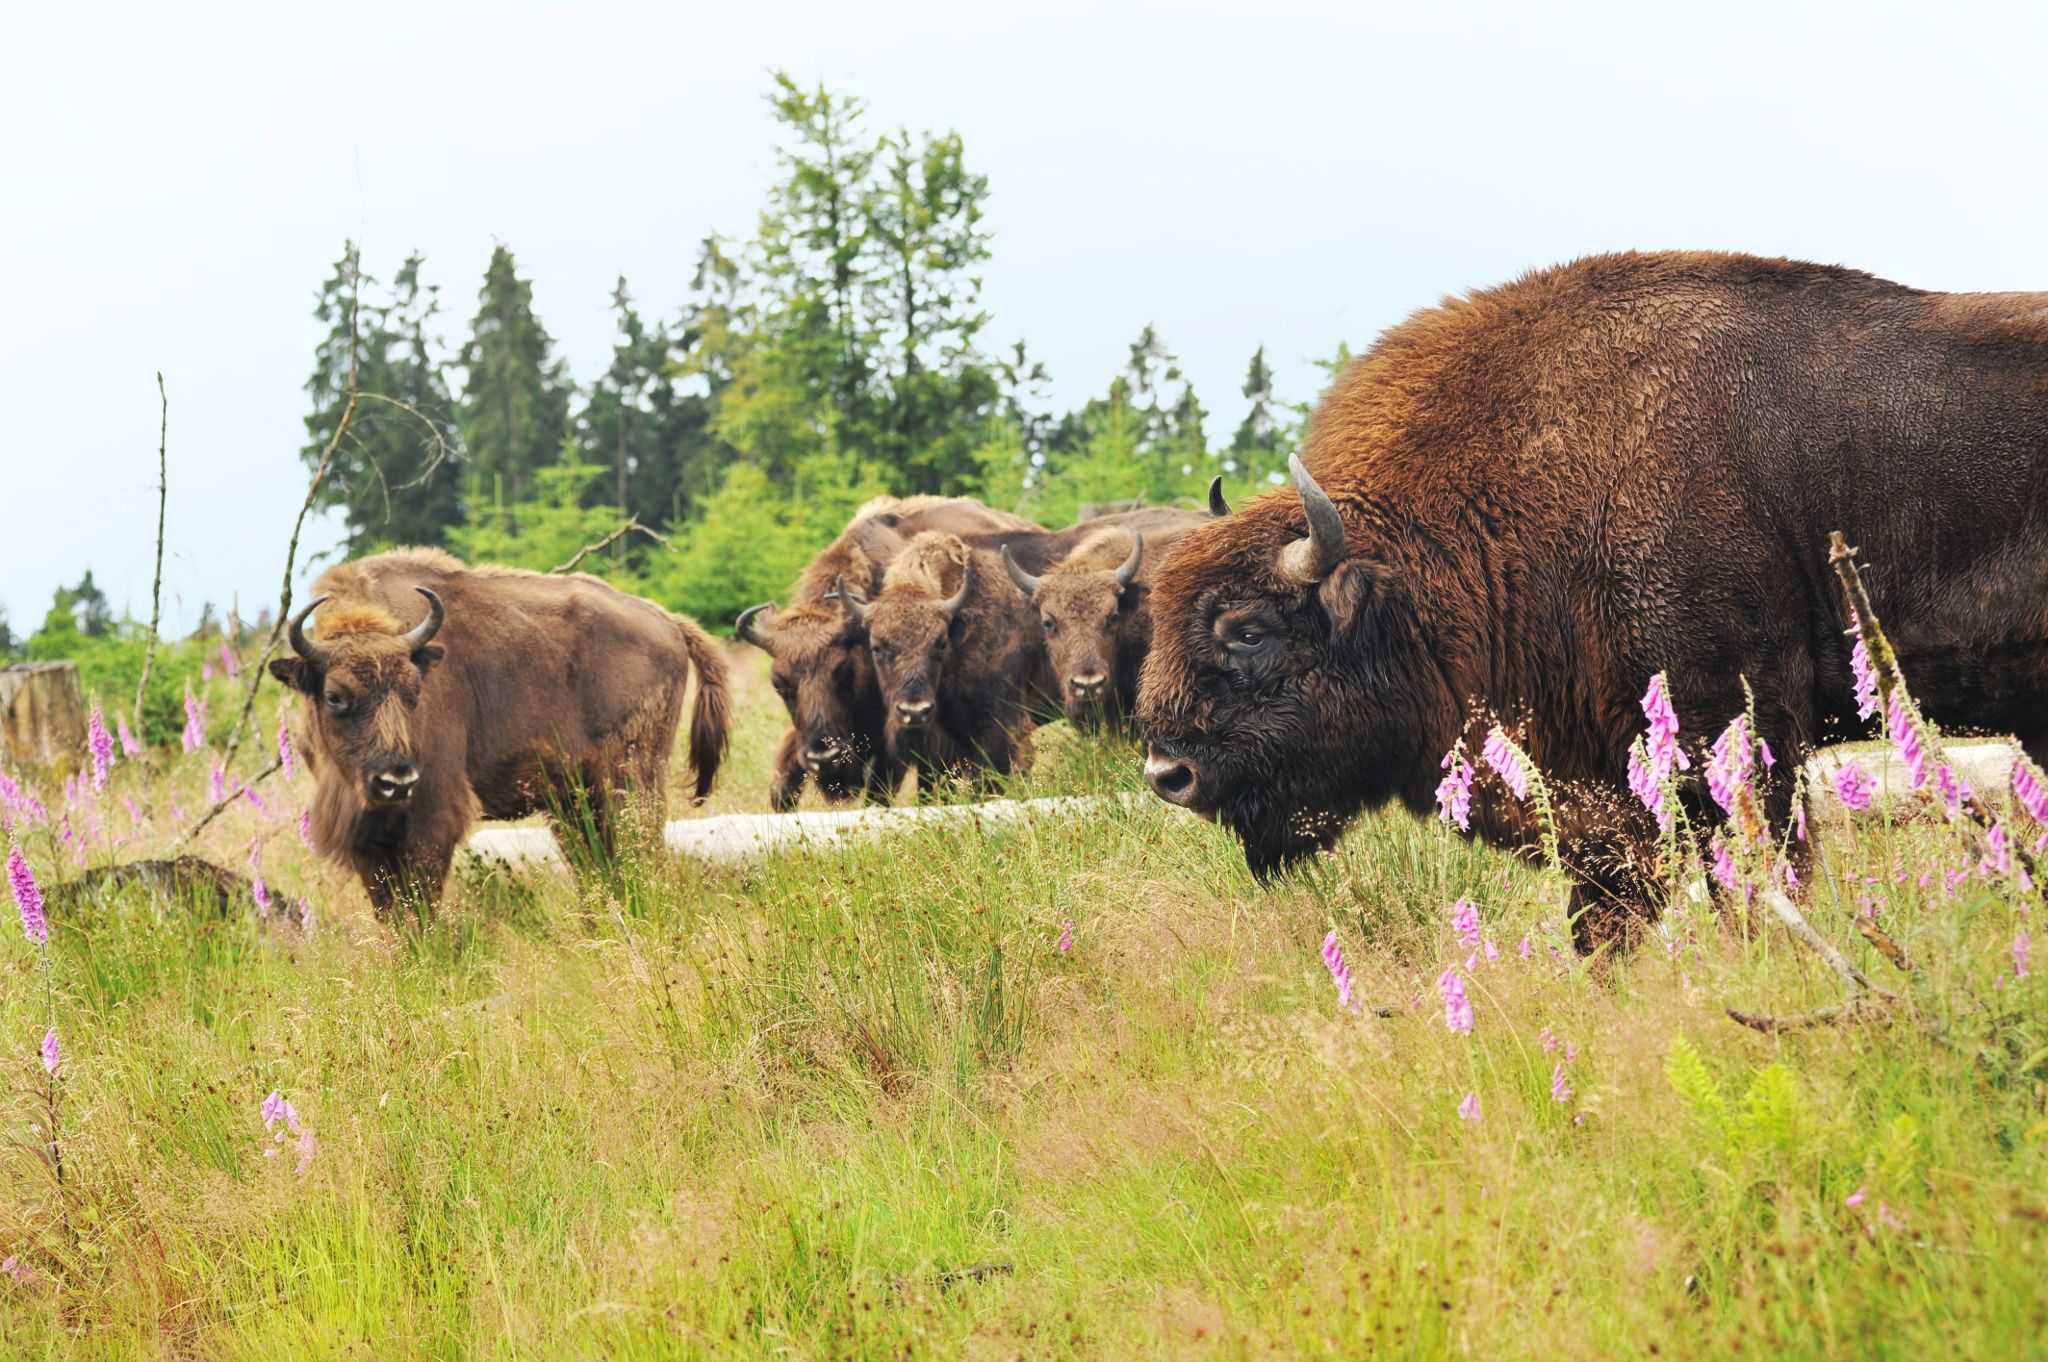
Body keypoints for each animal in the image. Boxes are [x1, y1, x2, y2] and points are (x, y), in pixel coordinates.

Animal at [264, 548, 729, 913]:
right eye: (335, 696)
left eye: (414, 688)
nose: (396, 780)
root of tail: (667, 622)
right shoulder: (369, 838)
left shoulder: (433, 816)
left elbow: (421, 902)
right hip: (575, 801)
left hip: (632, 780)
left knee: (642, 853)